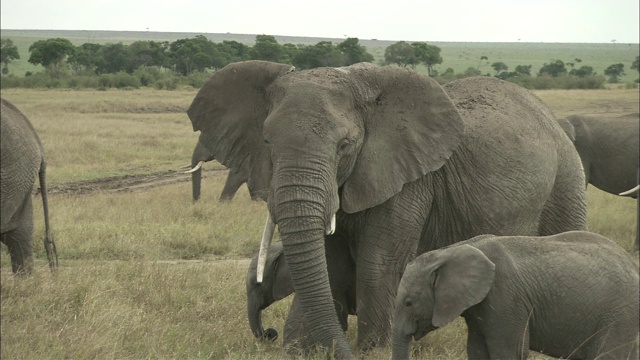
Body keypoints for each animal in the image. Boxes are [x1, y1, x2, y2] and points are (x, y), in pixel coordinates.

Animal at [184, 61, 584, 358]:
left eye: (345, 145)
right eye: (266, 141)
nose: (267, 334)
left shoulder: (409, 181)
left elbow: (378, 263)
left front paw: (370, 350)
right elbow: (328, 261)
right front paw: (302, 350)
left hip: (566, 179)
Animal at [392, 232, 636, 358]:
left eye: (409, 303)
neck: (449, 251)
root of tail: (634, 266)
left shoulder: (505, 298)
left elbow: (509, 351)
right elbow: (477, 350)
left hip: (618, 313)